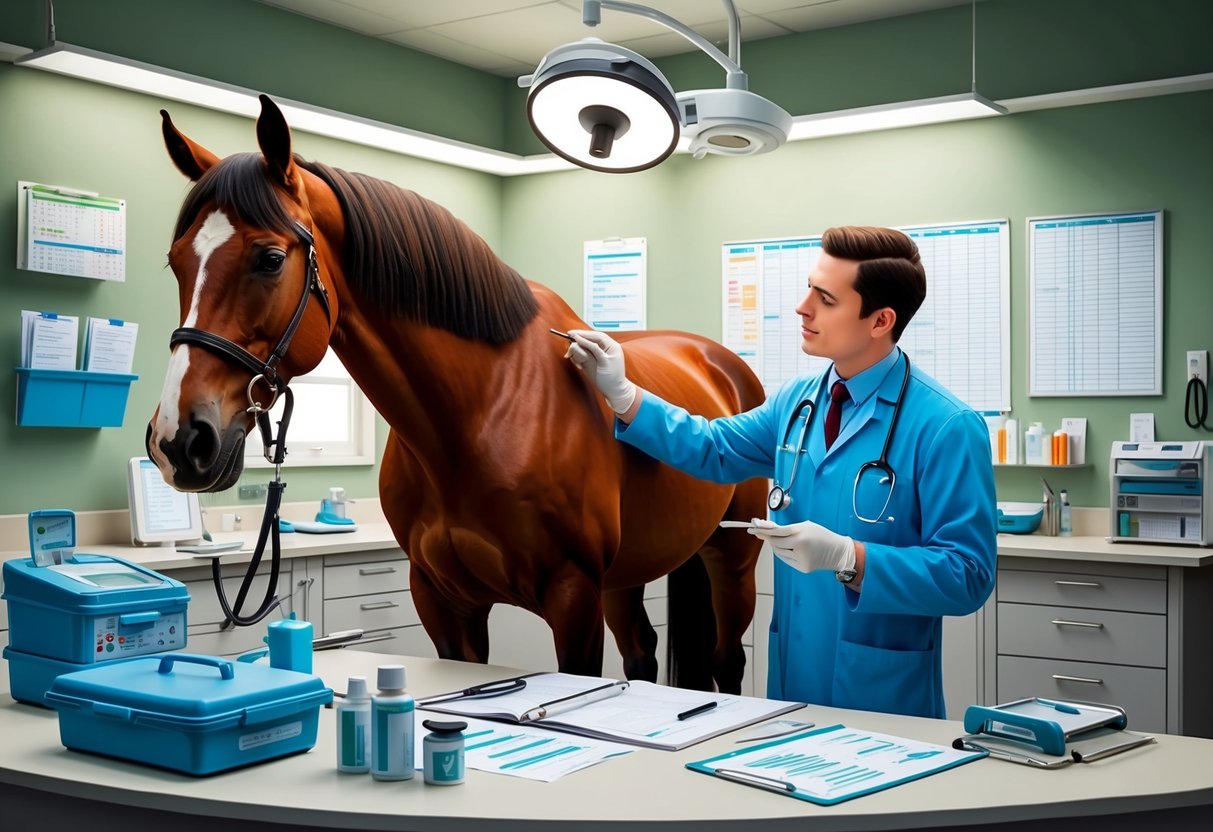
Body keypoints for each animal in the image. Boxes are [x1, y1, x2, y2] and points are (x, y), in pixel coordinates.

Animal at [146, 94, 761, 693]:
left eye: (270, 259)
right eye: (175, 262)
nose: (178, 441)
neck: (477, 416)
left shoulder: (573, 597)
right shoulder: (443, 601)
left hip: (732, 559)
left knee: (726, 660)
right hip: (628, 575)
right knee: (642, 655)